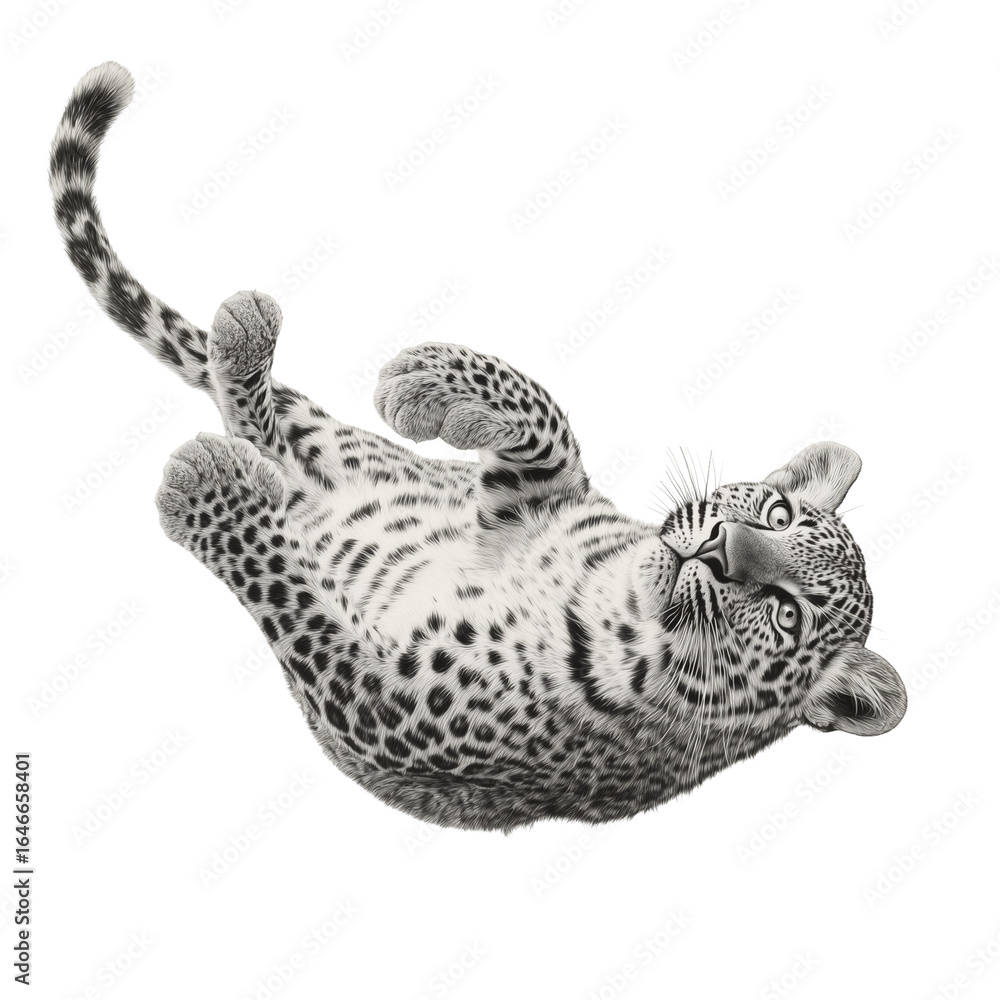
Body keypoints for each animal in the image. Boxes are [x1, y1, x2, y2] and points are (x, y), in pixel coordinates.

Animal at [49, 62, 906, 832]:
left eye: (787, 614)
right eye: (776, 512)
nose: (723, 550)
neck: (620, 597)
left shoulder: (384, 703)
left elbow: (293, 597)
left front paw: (207, 496)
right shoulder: (521, 502)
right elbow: (548, 420)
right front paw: (428, 381)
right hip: (354, 456)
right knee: (266, 424)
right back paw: (246, 339)